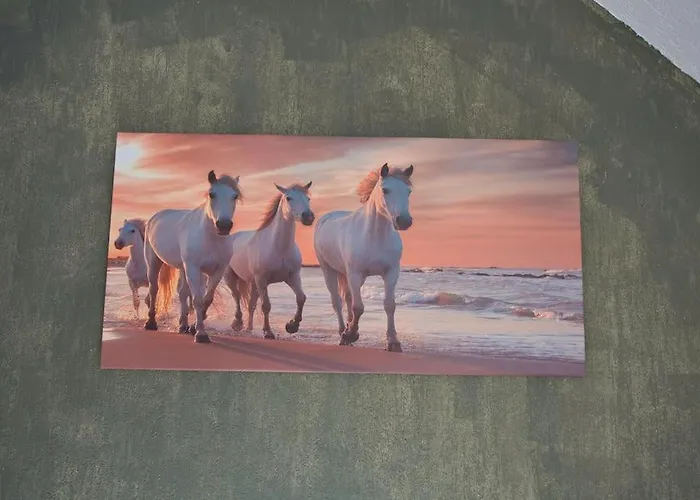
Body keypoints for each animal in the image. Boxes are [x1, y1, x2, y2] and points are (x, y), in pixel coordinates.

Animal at [143, 170, 243, 343]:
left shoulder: (217, 271)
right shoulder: (194, 269)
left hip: (183, 268)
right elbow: (197, 299)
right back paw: (151, 323)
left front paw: (194, 327)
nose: (223, 225)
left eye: (235, 196)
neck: (210, 238)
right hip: (153, 262)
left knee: (182, 293)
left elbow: (206, 299)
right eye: (212, 194)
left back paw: (183, 325)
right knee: (154, 289)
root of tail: (154, 218)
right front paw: (201, 334)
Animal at [223, 182, 314, 339]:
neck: (279, 248)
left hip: (254, 283)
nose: (308, 217)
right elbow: (266, 305)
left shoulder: (293, 276)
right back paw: (237, 324)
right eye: (289, 198)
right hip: (232, 277)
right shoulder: (262, 279)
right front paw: (268, 332)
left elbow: (301, 298)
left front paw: (292, 326)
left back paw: (248, 328)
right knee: (237, 296)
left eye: (308, 198)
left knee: (251, 304)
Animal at [313, 163, 414, 352]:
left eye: (408, 191)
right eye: (385, 190)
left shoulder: (391, 273)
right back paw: (343, 333)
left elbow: (389, 305)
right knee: (337, 301)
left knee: (347, 297)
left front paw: (393, 341)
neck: (375, 236)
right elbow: (358, 307)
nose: (404, 221)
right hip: (328, 270)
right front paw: (350, 334)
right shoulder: (355, 273)